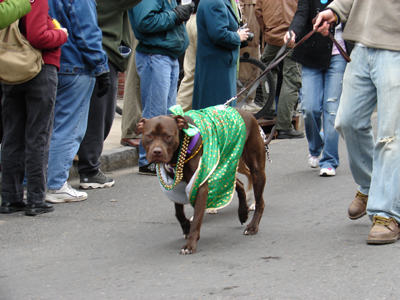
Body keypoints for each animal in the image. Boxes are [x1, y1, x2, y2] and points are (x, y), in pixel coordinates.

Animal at [134, 105, 266, 253]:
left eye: (168, 136)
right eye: (149, 136)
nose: (157, 152)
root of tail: (248, 114)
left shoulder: (199, 185)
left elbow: (197, 217)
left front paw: (190, 243)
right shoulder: (175, 185)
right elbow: (178, 212)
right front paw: (186, 227)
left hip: (255, 169)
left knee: (260, 201)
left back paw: (253, 225)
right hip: (222, 168)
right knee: (240, 184)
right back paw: (242, 213)